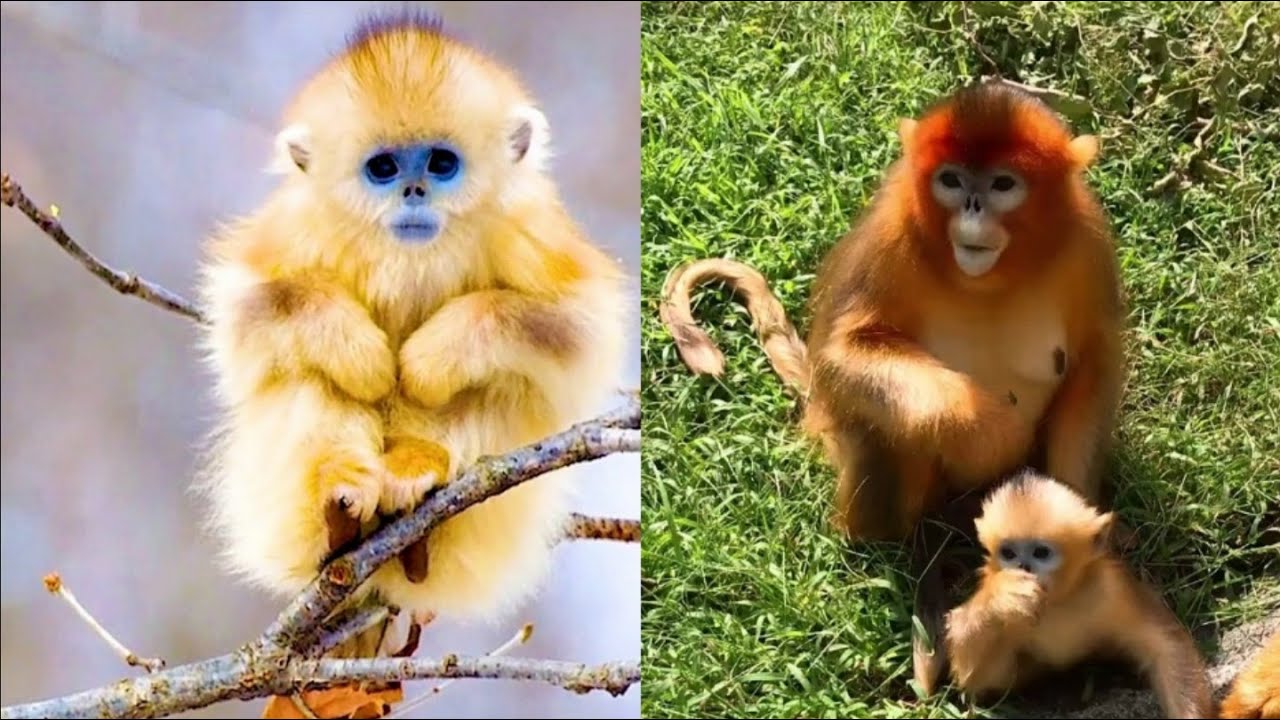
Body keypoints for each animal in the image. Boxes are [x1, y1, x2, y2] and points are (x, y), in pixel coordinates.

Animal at [193, 10, 628, 714]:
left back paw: (415, 482)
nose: (416, 190)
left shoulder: (530, 230)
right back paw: (344, 502)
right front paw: (367, 357)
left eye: (442, 163)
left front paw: (427, 360)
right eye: (384, 168)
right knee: (306, 379)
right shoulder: (296, 231)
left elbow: (573, 327)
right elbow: (257, 307)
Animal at [941, 471, 1213, 719]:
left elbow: (1166, 646)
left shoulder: (1109, 589)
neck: (1057, 603)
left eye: (1041, 553)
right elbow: (979, 680)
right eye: (1008, 553)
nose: (1023, 567)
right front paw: (1002, 595)